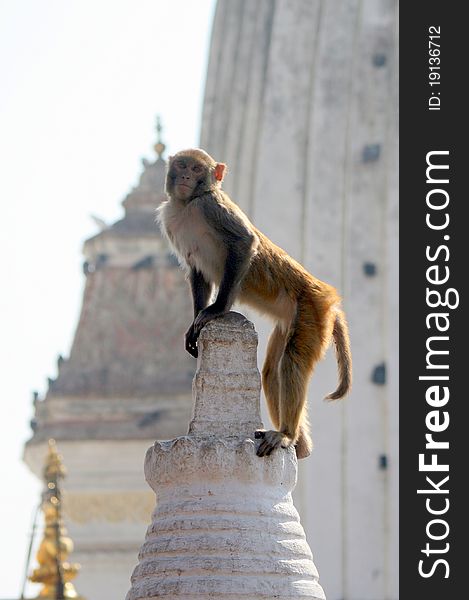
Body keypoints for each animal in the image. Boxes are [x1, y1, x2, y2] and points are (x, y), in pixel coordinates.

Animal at [157, 148, 352, 458]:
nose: (186, 177)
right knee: (273, 372)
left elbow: (244, 242)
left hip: (312, 310)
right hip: (292, 320)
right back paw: (300, 444)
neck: (188, 205)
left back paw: (286, 434)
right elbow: (197, 270)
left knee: (292, 363)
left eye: (198, 169)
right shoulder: (171, 220)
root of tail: (328, 296)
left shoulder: (211, 207)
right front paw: (195, 324)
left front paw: (216, 311)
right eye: (182, 165)